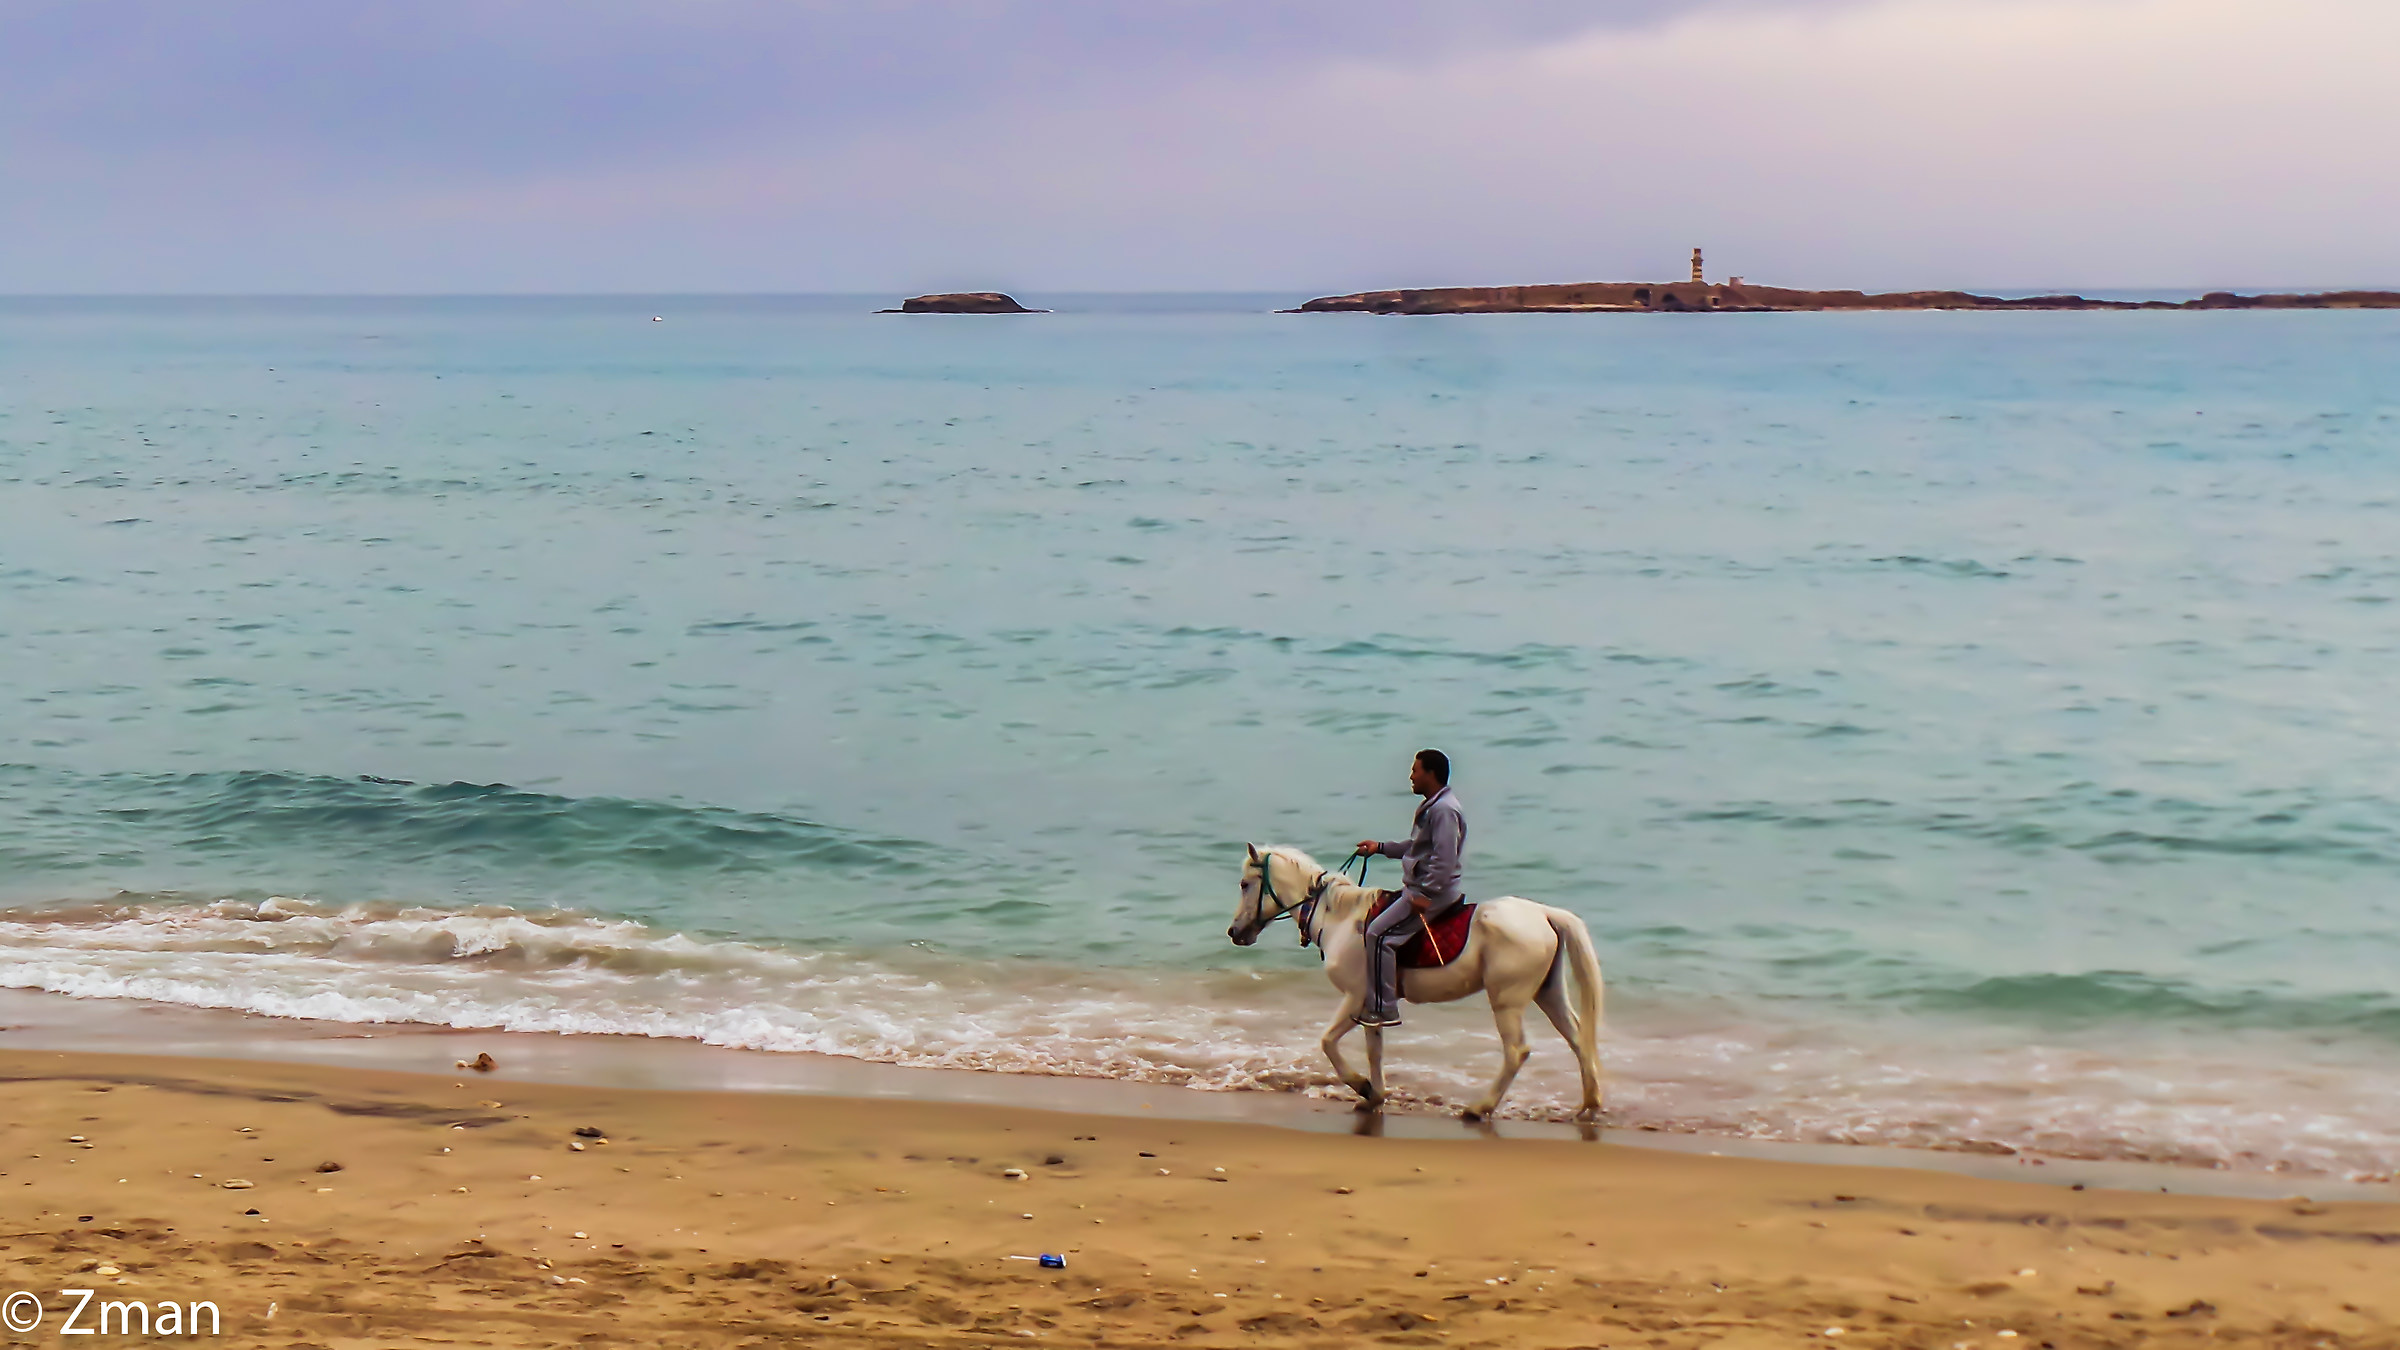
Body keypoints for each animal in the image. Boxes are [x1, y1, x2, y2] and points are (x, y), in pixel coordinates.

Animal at [1226, 843, 1605, 1121]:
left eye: (1245, 884)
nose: (1234, 932)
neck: (1339, 918)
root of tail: (1543, 913)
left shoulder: (1354, 997)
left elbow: (1328, 1042)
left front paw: (1362, 1087)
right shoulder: (1372, 1005)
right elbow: (1374, 1049)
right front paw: (1374, 1096)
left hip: (1506, 1001)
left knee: (1516, 1052)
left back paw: (1479, 1108)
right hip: (1548, 993)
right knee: (1577, 1038)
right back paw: (1589, 1105)